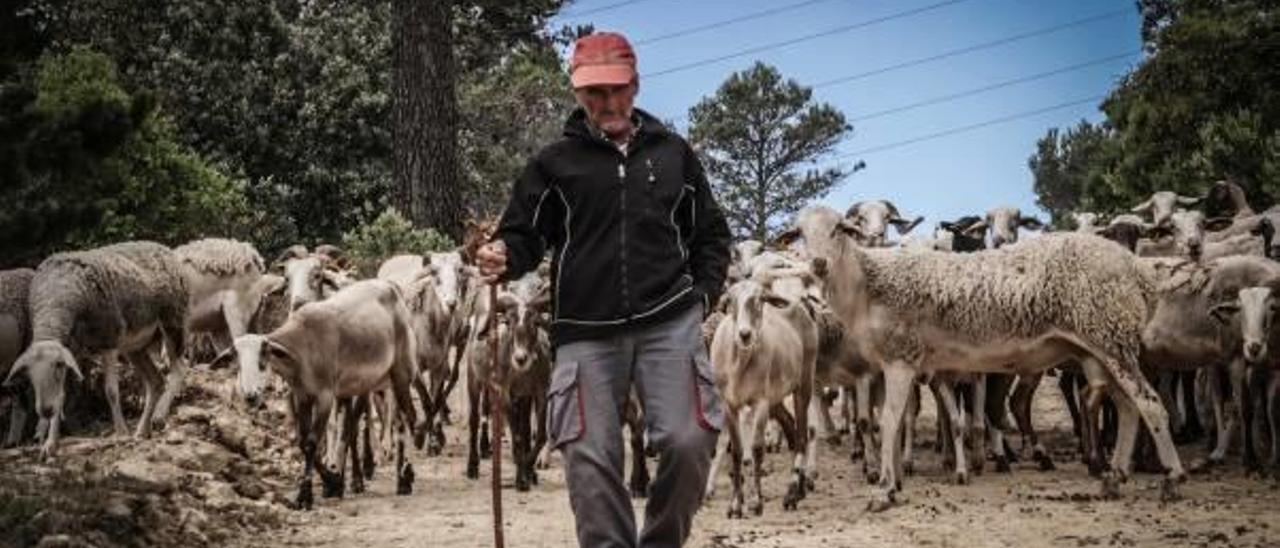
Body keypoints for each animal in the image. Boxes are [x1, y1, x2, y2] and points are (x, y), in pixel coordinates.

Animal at [3, 244, 186, 458]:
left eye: (57, 366)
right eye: (29, 373)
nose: (45, 411)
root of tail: (162, 248)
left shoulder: (109, 340)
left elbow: (111, 391)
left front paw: (121, 432)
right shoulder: (72, 351)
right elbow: (61, 397)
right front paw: (50, 444)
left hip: (172, 322)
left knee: (179, 370)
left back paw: (159, 415)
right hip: (136, 346)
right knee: (156, 381)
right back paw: (142, 430)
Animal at [207, 280, 422, 512]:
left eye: (264, 356)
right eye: (236, 360)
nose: (251, 396)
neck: (303, 345)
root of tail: (391, 287)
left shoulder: (325, 396)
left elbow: (311, 442)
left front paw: (306, 495)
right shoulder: (302, 396)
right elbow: (303, 441)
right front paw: (333, 482)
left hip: (402, 373)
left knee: (409, 418)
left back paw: (405, 479)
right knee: (392, 422)